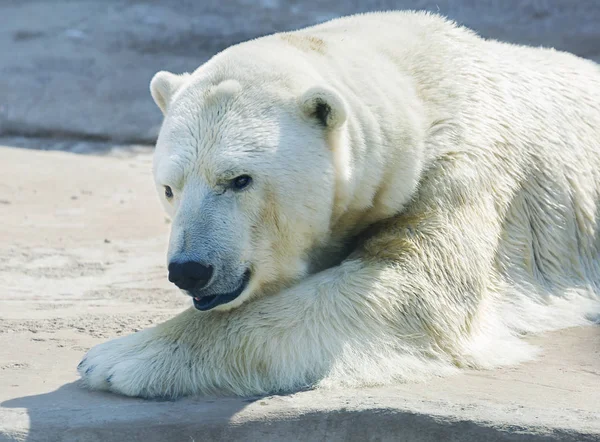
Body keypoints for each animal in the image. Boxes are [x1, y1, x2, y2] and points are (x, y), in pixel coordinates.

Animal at [77, 11, 600, 398]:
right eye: (170, 188)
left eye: (239, 179)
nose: (189, 269)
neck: (417, 81)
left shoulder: (460, 168)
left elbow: (408, 293)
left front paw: (115, 358)